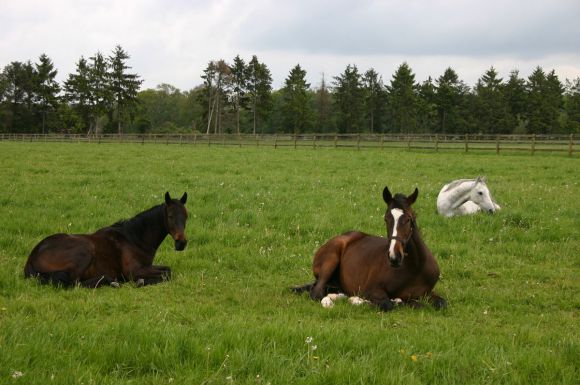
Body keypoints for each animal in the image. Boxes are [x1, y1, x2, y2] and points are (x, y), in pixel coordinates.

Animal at [24, 190, 188, 286]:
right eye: (170, 216)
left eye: (186, 216)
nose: (182, 243)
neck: (135, 239)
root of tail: (32, 257)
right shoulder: (134, 271)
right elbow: (166, 275)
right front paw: (141, 281)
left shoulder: (147, 266)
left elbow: (167, 269)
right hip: (85, 250)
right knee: (74, 283)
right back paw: (111, 281)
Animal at [292, 185, 446, 308]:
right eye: (386, 219)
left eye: (409, 219)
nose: (394, 257)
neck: (415, 268)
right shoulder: (373, 290)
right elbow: (389, 304)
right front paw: (358, 300)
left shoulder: (428, 293)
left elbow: (441, 303)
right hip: (330, 260)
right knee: (317, 292)